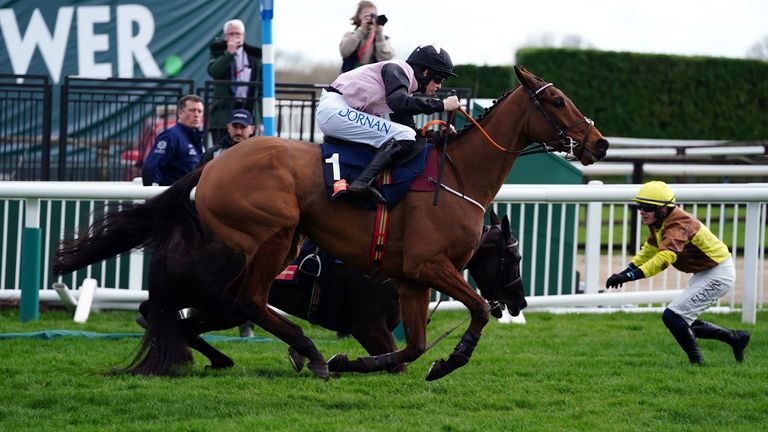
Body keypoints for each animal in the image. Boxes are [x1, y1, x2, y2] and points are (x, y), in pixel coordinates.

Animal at [190, 64, 608, 378]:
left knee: (235, 298)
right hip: (274, 236)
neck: (459, 175)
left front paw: (351, 362)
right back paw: (309, 352)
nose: (600, 143)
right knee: (250, 299)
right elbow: (476, 309)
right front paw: (452, 360)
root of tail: (212, 167)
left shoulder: (411, 279)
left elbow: (415, 347)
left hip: (280, 245)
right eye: (558, 100)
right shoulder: (429, 265)